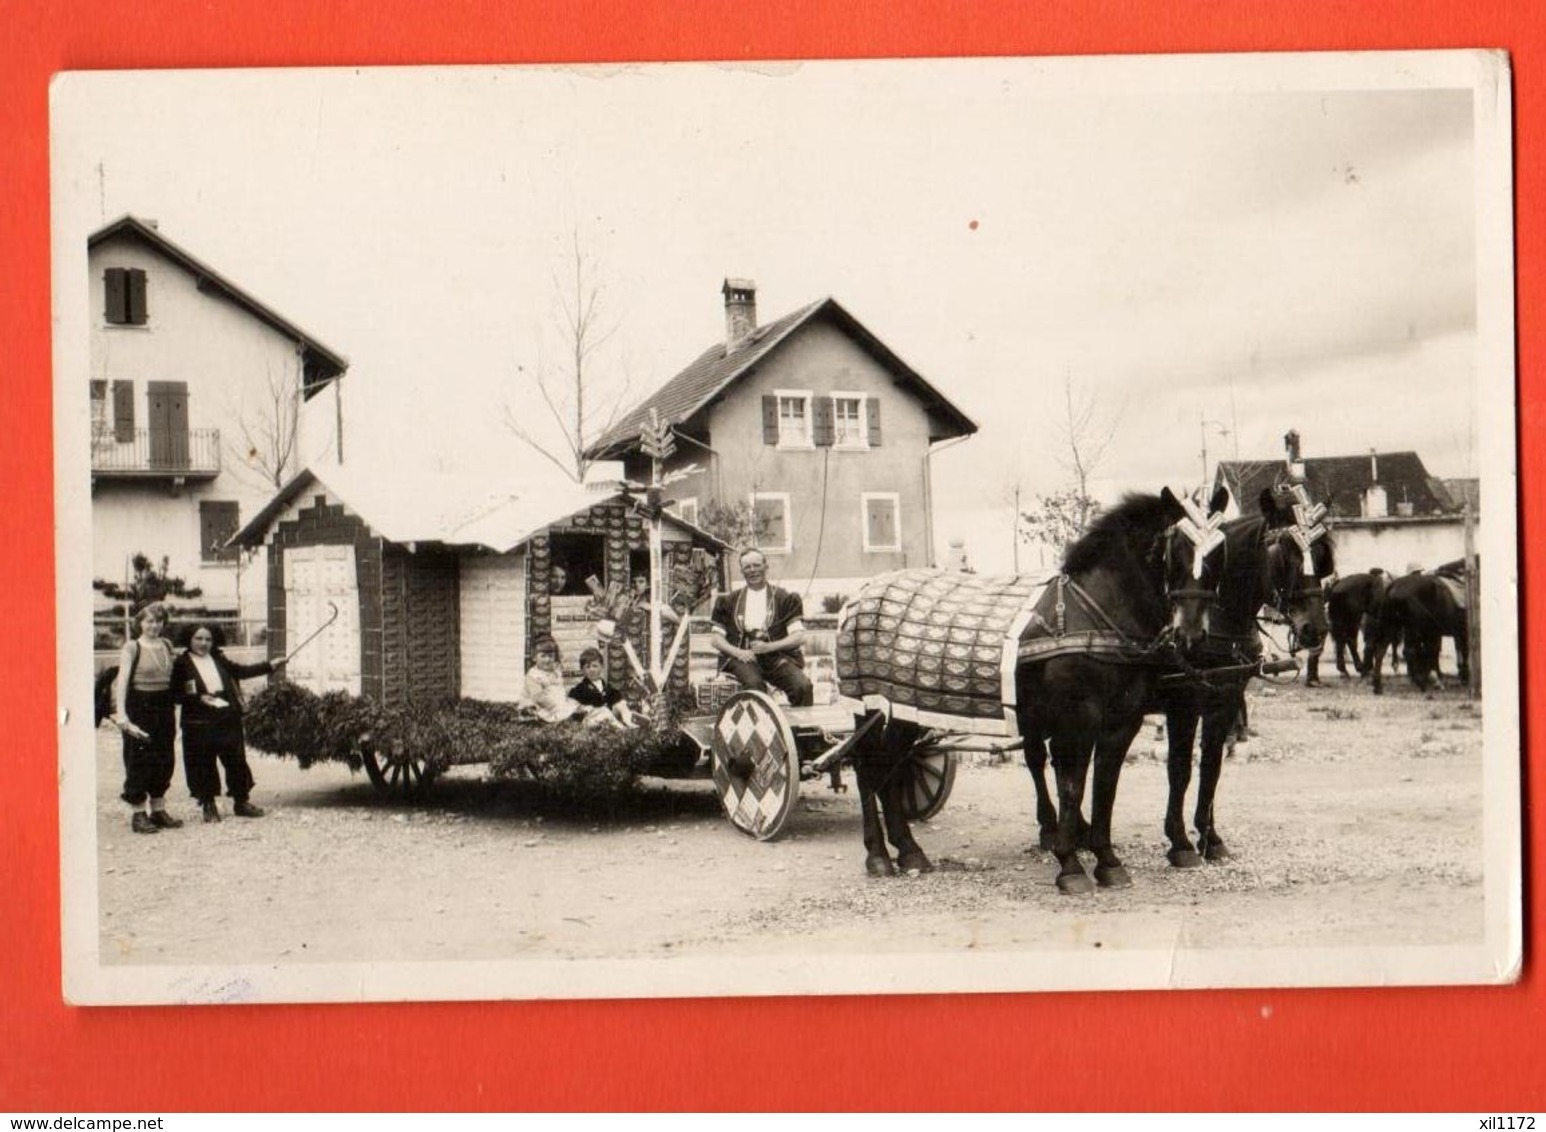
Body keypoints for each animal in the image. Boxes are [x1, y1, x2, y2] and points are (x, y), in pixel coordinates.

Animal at [841, 485, 1199, 890]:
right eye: (1179, 549)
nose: (1192, 634)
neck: (1090, 614)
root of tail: (860, 594)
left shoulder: (1120, 725)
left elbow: (1105, 788)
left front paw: (1108, 861)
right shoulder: (1074, 723)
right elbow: (1072, 787)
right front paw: (1070, 865)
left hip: (905, 711)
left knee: (890, 768)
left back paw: (909, 851)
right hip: (870, 706)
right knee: (868, 770)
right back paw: (878, 855)